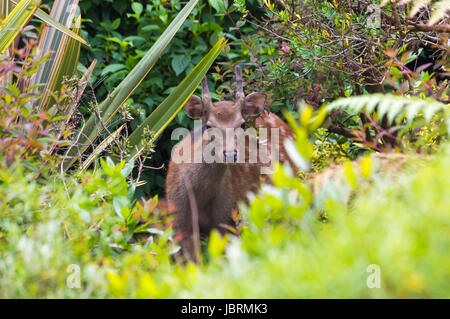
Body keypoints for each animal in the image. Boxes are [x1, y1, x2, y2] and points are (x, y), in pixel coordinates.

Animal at [165, 66, 296, 262]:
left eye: (241, 124)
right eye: (209, 125)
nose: (230, 154)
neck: (200, 198)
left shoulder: (227, 218)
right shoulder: (180, 220)